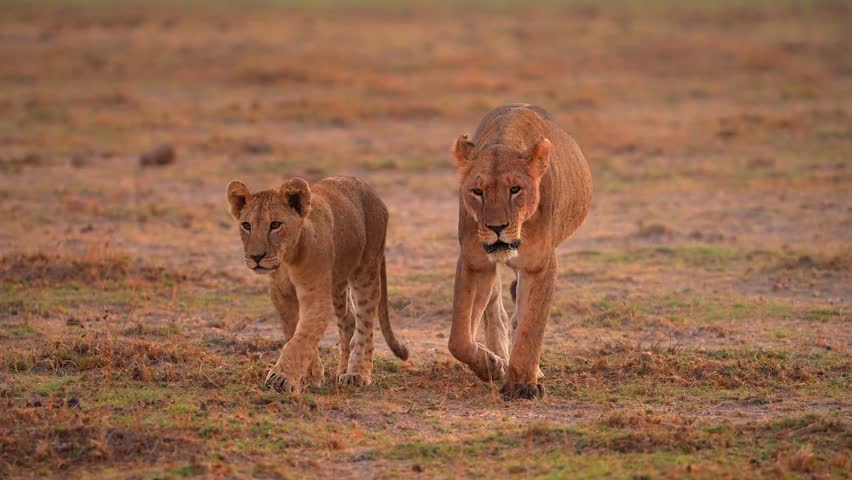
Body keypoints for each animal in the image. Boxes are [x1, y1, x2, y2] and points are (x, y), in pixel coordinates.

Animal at [226, 176, 409, 395]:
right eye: (246, 225)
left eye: (275, 225)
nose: (256, 257)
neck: (288, 258)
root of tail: (367, 186)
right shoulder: (281, 295)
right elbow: (295, 332)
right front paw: (311, 375)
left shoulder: (315, 294)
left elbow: (302, 336)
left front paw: (281, 378)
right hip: (337, 285)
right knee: (348, 321)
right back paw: (342, 370)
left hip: (366, 271)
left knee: (365, 326)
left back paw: (357, 373)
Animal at [448, 104, 592, 400]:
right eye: (477, 191)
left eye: (515, 189)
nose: (496, 227)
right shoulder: (475, 263)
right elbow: (459, 339)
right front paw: (492, 365)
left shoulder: (540, 266)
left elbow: (530, 326)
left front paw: (523, 384)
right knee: (496, 311)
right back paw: (500, 356)